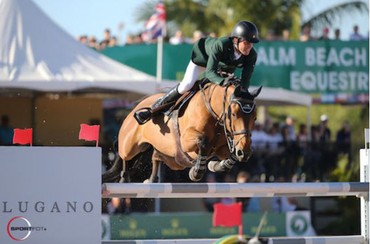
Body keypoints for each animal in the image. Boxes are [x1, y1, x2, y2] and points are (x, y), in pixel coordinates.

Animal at [102, 81, 262, 184]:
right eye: (234, 114)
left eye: (255, 117)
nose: (245, 152)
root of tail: (134, 109)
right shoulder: (186, 142)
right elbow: (203, 143)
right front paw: (196, 172)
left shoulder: (223, 148)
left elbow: (231, 155)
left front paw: (216, 165)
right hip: (131, 145)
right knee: (124, 156)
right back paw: (124, 178)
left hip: (172, 159)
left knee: (155, 156)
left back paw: (151, 179)